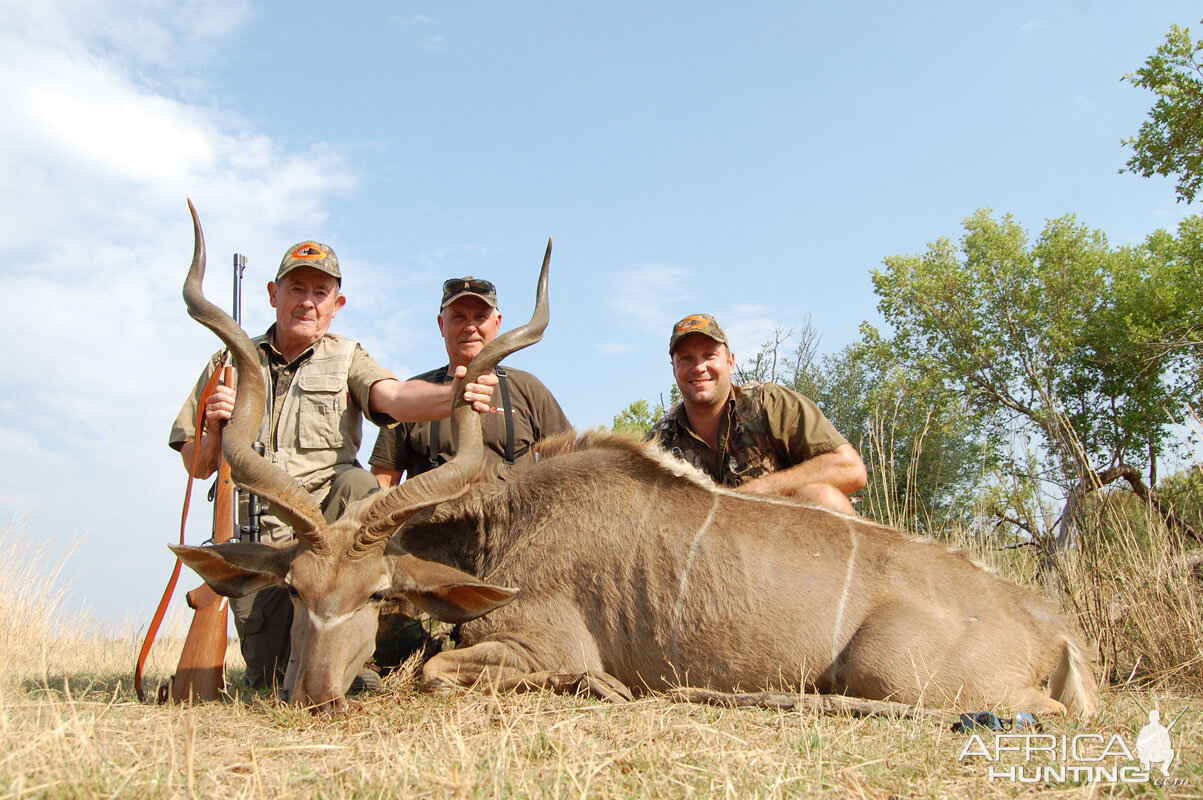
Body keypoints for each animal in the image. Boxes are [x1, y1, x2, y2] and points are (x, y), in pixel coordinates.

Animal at [172, 203, 1101, 712]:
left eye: (376, 594)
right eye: (297, 591)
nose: (312, 695)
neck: (505, 528)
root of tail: (1055, 631)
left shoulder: (541, 645)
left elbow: (437, 672)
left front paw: (605, 689)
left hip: (897, 676)